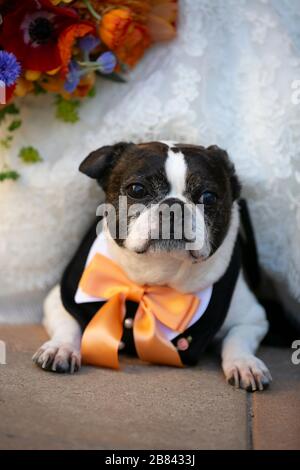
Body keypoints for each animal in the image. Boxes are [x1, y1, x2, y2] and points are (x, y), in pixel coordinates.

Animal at [33, 141, 272, 392]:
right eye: (137, 190)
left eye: (209, 197)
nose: (174, 205)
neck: (158, 275)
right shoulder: (60, 298)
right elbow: (68, 323)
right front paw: (61, 348)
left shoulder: (253, 319)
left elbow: (238, 338)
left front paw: (245, 363)